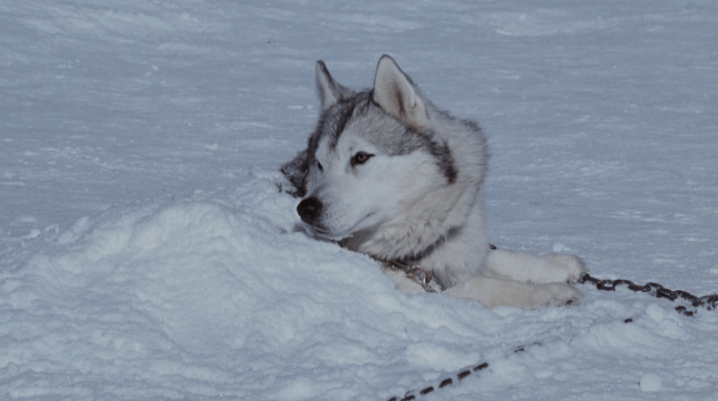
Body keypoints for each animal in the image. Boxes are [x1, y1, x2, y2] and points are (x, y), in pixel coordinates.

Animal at [280, 54, 584, 308]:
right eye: (320, 164)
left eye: (361, 157)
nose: (306, 209)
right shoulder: (420, 290)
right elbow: (483, 286)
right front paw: (548, 293)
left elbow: (498, 255)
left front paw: (555, 265)